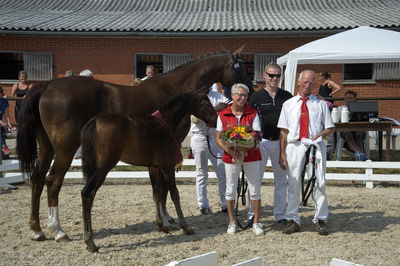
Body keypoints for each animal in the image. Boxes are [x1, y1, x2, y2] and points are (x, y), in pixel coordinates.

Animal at [79, 87, 216, 251]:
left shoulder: (153, 167)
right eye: (206, 103)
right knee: (87, 193)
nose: (215, 119)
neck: (165, 124)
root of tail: (94, 121)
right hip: (103, 168)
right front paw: (185, 227)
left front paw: (161, 226)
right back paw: (90, 241)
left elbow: (156, 193)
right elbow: (174, 193)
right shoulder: (167, 166)